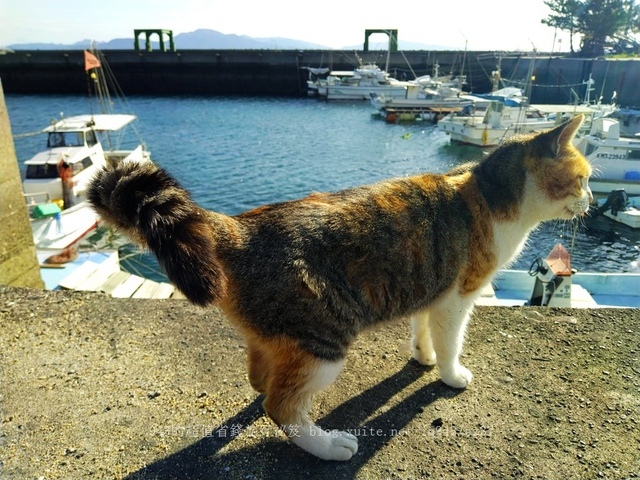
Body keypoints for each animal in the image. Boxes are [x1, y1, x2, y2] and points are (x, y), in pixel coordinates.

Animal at [87, 113, 592, 462]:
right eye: (584, 177)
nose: (590, 199)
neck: (490, 195)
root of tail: (237, 228)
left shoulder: (430, 287)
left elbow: (422, 329)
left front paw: (423, 356)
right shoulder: (459, 296)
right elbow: (451, 342)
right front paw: (450, 374)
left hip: (282, 333)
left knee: (260, 377)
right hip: (323, 339)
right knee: (279, 406)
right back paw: (327, 446)